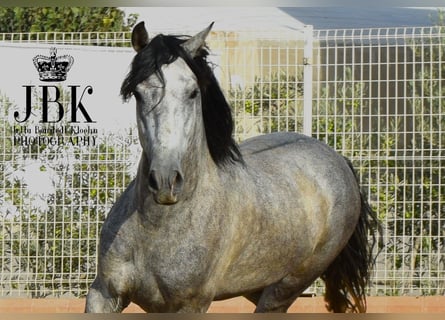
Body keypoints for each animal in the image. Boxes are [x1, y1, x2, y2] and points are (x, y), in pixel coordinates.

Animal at [85, 21, 376, 312]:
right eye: (138, 93)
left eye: (193, 92)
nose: (165, 181)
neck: (155, 227)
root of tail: (338, 160)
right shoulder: (103, 293)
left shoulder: (189, 305)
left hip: (286, 287)